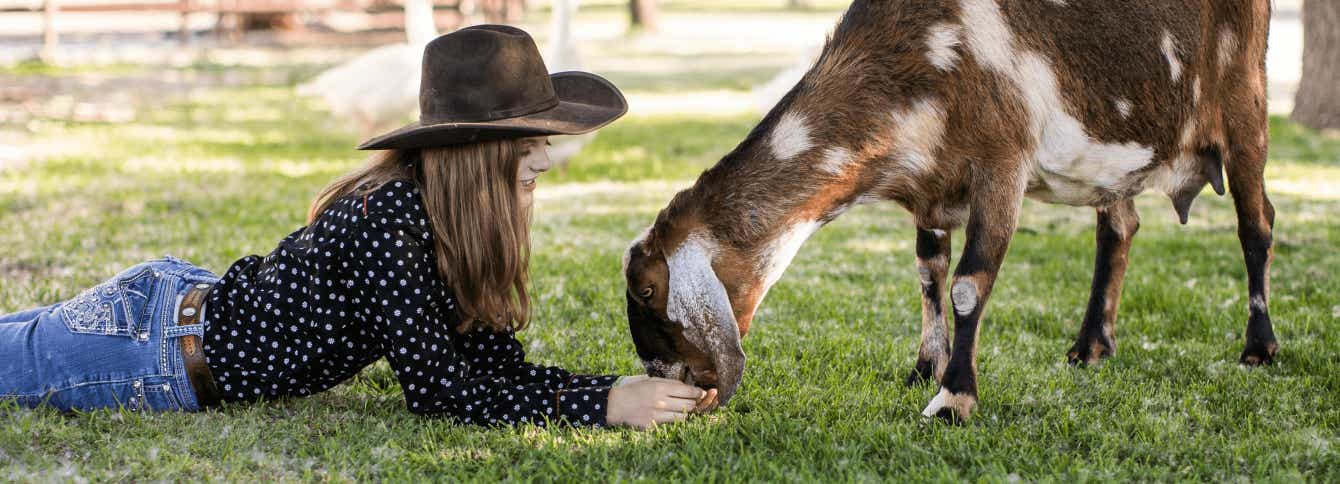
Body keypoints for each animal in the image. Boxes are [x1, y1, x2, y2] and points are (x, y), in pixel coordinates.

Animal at [621, 0, 1270, 423]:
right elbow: (929, 275)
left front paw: (955, 398)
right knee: (1120, 226)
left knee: (1255, 225)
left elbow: (965, 286)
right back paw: (1090, 348)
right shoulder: (931, 190)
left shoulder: (1002, 163)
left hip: (1245, 97)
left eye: (649, 290)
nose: (684, 382)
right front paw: (922, 370)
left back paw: (1259, 349)